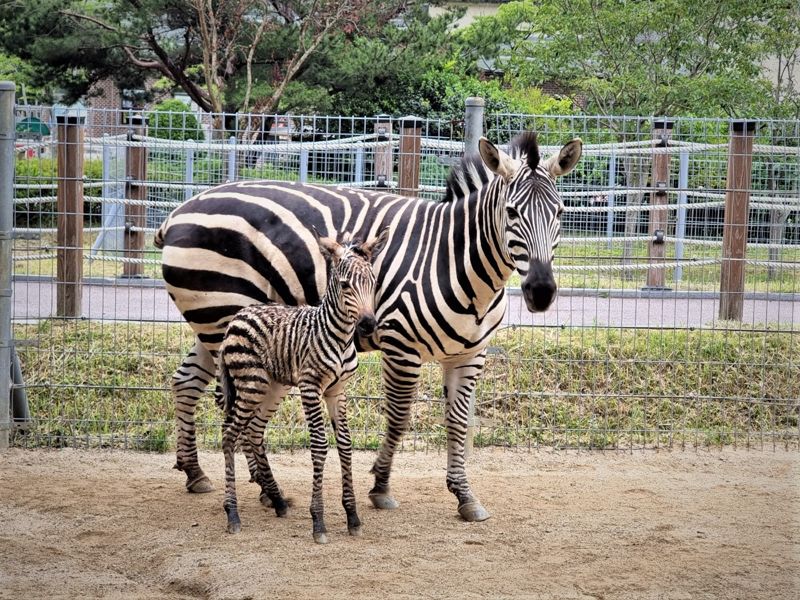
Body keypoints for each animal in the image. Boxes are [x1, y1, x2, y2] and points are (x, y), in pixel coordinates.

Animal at [219, 227, 388, 540]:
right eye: (345, 285)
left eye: (374, 283)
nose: (368, 324)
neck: (339, 337)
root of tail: (239, 315)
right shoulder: (310, 386)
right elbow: (320, 445)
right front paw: (318, 520)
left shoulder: (337, 392)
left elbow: (345, 444)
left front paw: (352, 516)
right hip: (251, 383)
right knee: (229, 433)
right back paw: (232, 513)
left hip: (273, 386)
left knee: (253, 431)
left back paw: (277, 501)